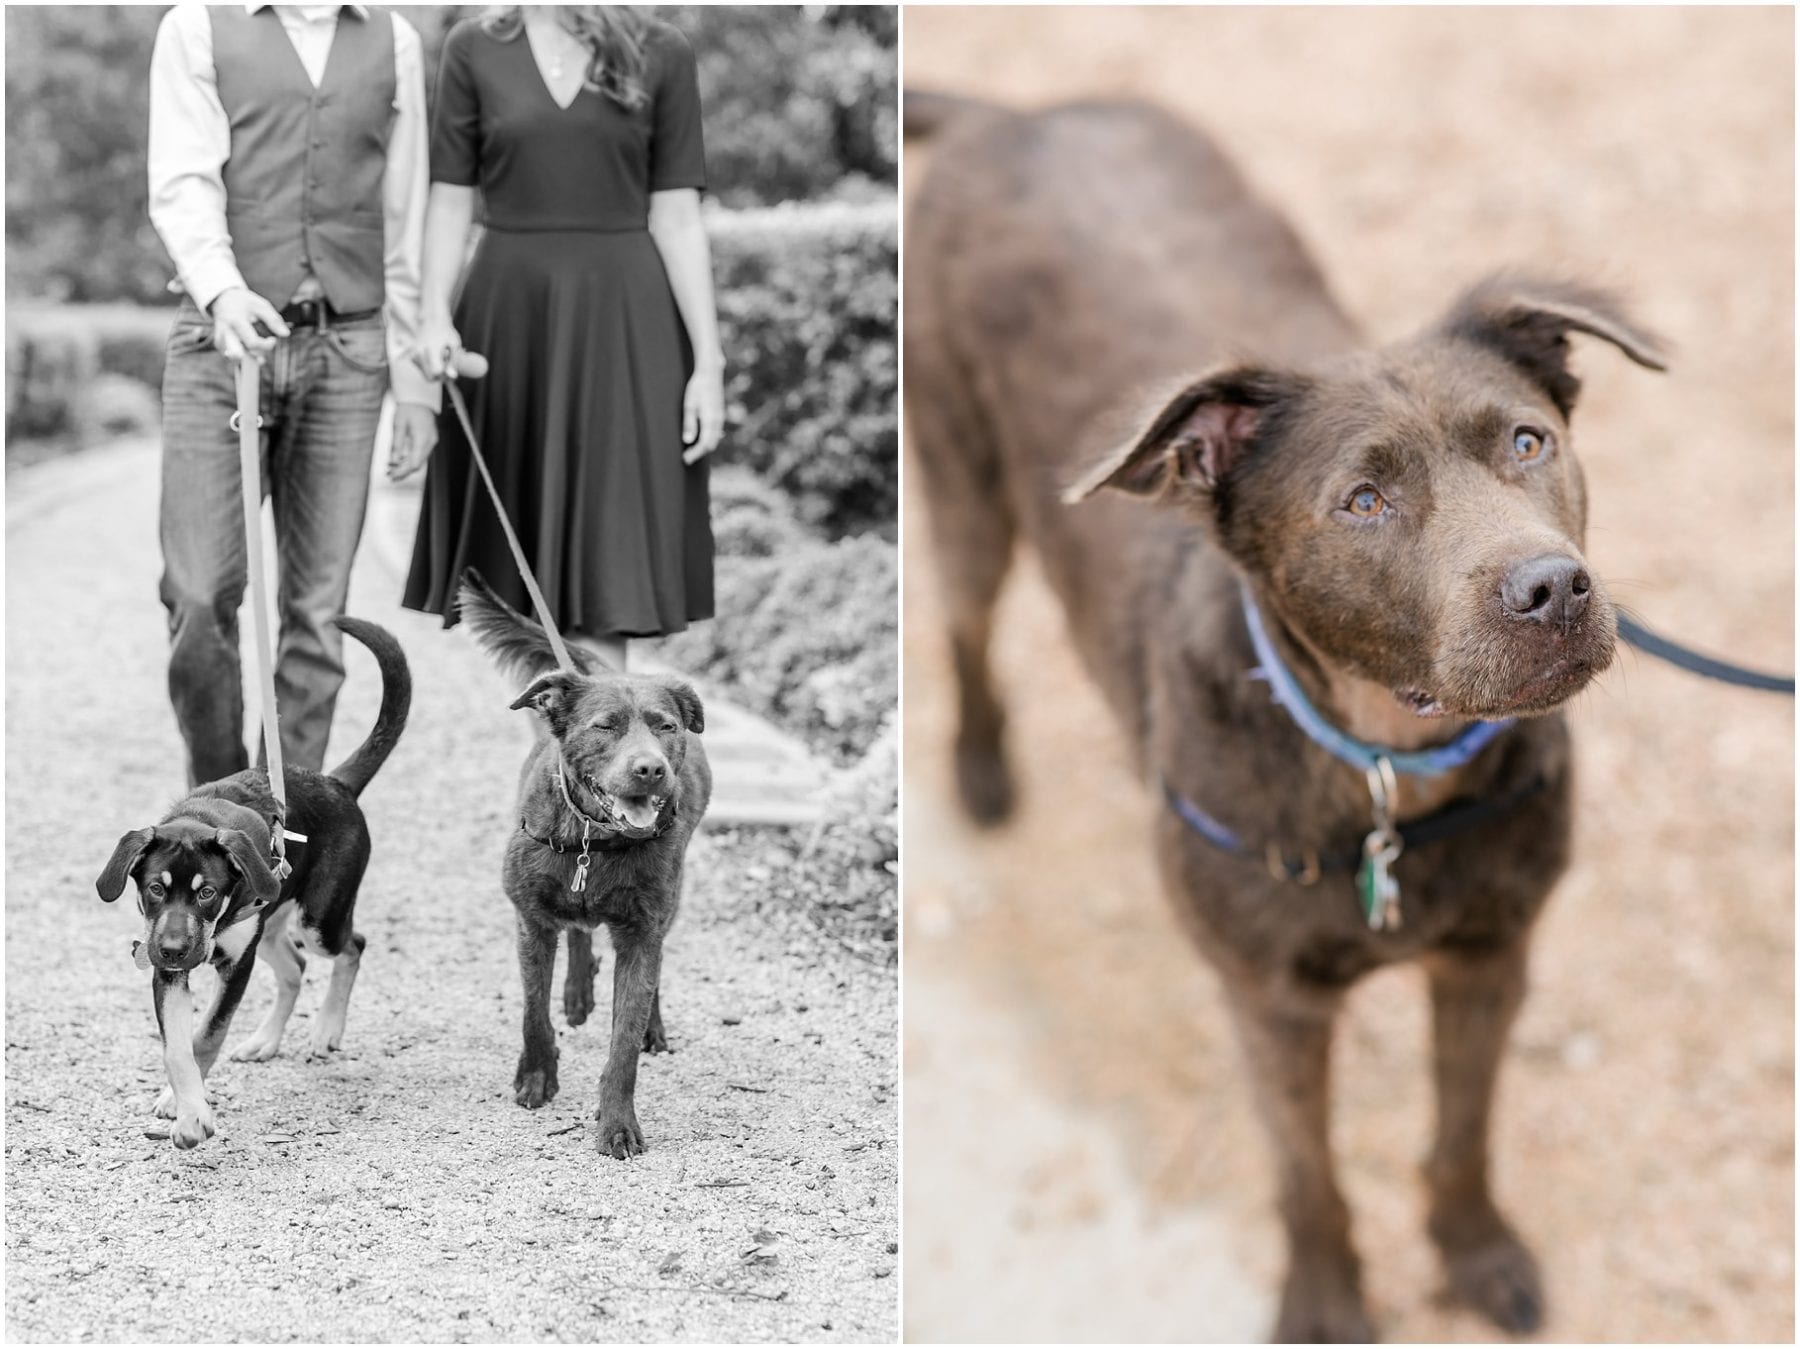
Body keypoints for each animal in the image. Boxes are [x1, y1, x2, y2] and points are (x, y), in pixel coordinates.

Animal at [97, 619, 412, 1145]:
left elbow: (207, 1035)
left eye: (207, 892)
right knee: (295, 968)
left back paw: (327, 1028)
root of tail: (338, 784)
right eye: (155, 889)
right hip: (268, 926)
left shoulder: (235, 964)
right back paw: (265, 1040)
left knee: (353, 945)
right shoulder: (168, 973)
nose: (175, 949)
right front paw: (185, 1105)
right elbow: (177, 1047)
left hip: (318, 919)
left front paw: (193, 1114)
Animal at [457, 569, 709, 1159]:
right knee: (577, 932)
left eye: (666, 727)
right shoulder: (530, 920)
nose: (651, 769)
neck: (597, 839)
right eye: (605, 726)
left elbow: (624, 1042)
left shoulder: (641, 932)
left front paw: (617, 1122)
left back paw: (650, 1027)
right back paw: (575, 992)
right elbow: (532, 1009)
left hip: (669, 908)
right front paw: (536, 1076)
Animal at [907, 92, 1663, 1339]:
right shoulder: (1271, 1004)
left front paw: (1474, 1250)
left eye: (1527, 441)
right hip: (965, 490)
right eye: (1363, 500)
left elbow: (1463, 1133)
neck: (1387, 771)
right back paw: (981, 771)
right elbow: (1307, 1172)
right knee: (965, 628)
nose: (1556, 589)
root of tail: (1019, 114)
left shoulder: (1490, 958)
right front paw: (1324, 1298)